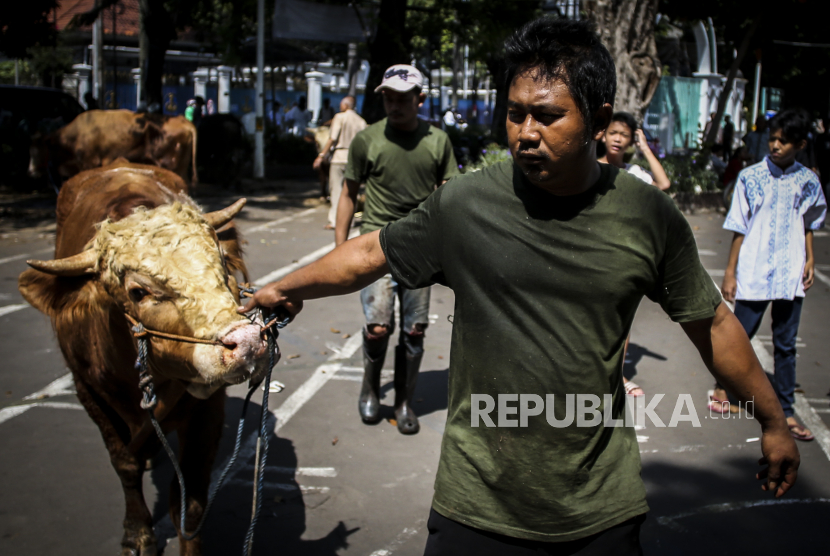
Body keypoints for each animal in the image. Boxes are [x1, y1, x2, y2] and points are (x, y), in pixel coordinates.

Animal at [18, 159, 266, 552]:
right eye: (138, 291)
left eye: (223, 263)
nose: (246, 342)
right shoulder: (88, 391)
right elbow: (125, 463)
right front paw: (137, 532)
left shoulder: (208, 407)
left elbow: (190, 501)